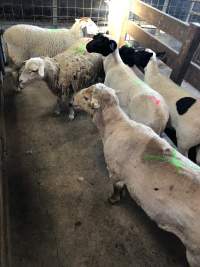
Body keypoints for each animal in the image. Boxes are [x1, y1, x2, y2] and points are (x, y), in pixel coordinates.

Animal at [73, 82, 200, 266]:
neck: (114, 125)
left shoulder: (115, 170)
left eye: (86, 97)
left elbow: (116, 187)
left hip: (195, 254)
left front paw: (114, 199)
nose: (71, 99)